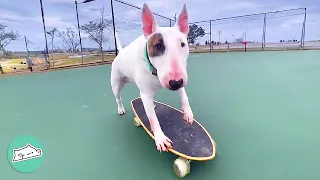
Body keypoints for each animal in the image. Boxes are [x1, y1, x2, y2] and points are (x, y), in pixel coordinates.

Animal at [111, 2, 194, 152]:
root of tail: (120, 53)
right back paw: (120, 108)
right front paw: (160, 139)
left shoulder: (179, 78)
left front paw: (188, 113)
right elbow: (152, 118)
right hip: (116, 83)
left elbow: (184, 95)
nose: (175, 83)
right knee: (118, 97)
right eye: (158, 45)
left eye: (183, 44)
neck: (154, 70)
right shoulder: (145, 93)